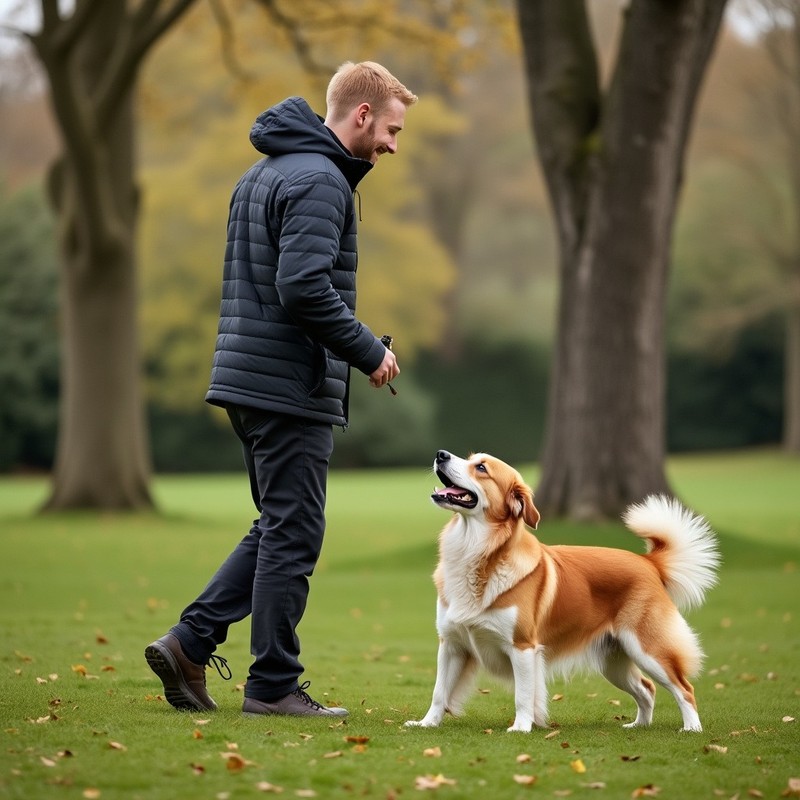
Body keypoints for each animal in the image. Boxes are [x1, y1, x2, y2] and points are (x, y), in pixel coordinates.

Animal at [404, 450, 720, 732]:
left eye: (481, 467)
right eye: (469, 459)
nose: (441, 454)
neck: (478, 554)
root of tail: (648, 562)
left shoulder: (523, 647)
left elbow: (523, 696)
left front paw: (521, 727)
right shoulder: (451, 644)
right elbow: (439, 692)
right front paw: (426, 724)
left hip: (648, 650)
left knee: (684, 688)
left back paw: (692, 728)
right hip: (614, 661)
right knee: (647, 688)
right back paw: (638, 725)